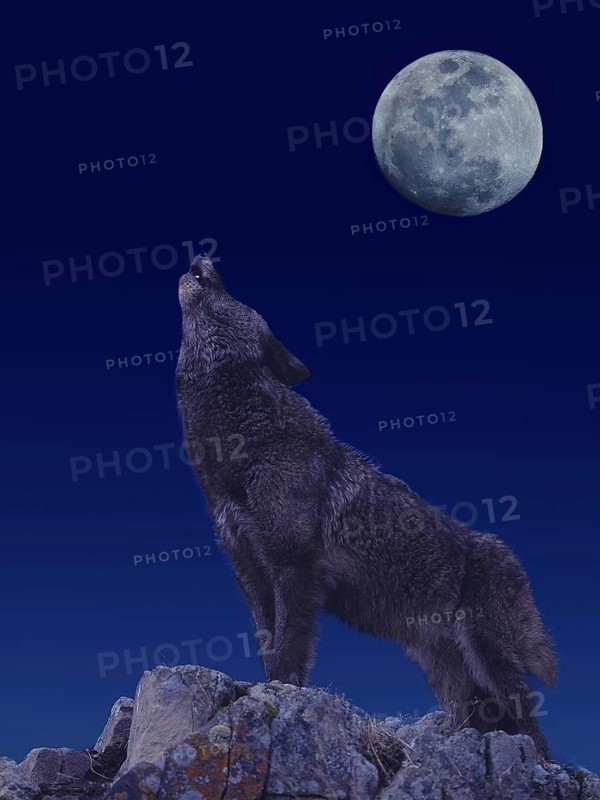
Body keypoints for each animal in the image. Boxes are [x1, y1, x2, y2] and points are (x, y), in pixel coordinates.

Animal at [175, 254, 557, 758]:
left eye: (229, 292)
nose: (203, 258)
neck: (236, 445)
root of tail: (509, 555)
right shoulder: (251, 573)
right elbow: (267, 643)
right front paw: (262, 687)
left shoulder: (294, 570)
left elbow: (288, 650)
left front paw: (280, 691)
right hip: (449, 673)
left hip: (487, 655)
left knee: (527, 720)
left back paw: (544, 763)